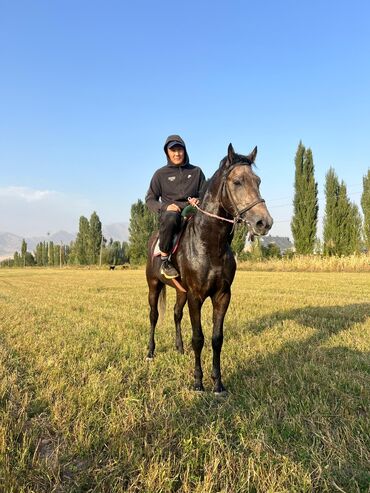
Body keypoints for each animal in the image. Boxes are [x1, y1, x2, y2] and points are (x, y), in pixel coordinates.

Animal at [146, 142, 274, 392]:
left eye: (258, 181)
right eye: (237, 182)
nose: (264, 223)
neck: (209, 244)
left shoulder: (222, 295)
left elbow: (216, 339)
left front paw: (218, 383)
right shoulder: (196, 296)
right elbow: (198, 338)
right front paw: (198, 382)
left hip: (180, 292)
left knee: (176, 314)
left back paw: (179, 348)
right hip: (154, 286)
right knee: (154, 316)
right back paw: (150, 351)